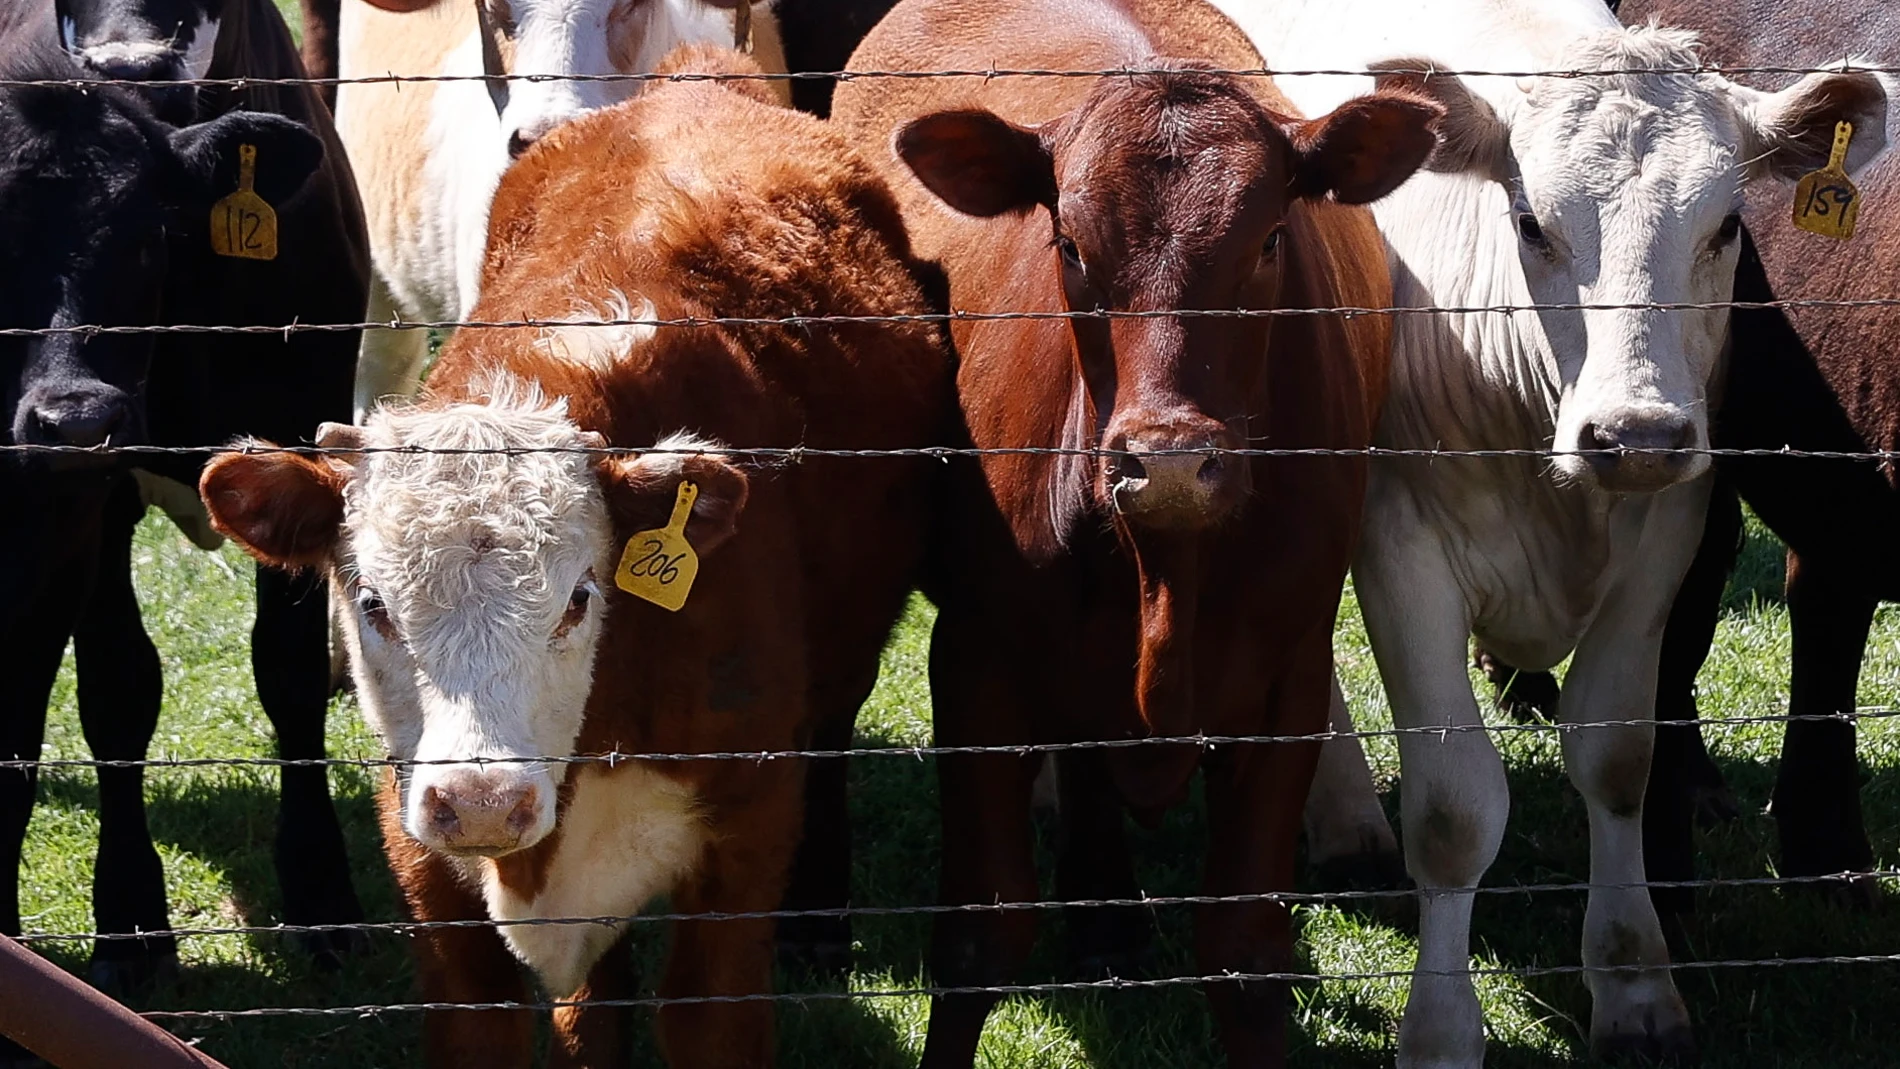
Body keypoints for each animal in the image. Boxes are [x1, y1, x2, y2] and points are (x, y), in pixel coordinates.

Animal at [0, 18, 342, 1069]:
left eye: (149, 233)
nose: (76, 419)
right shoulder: (87, 519)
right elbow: (117, 690)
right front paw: (131, 926)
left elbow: (287, 671)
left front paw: (320, 894)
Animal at [199, 45, 953, 1067]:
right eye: (372, 605)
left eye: (580, 599)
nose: (483, 802)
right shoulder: (420, 843)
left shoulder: (746, 833)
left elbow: (707, 1019)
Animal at [829, 0, 1438, 1062]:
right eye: (1069, 243)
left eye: (1271, 238)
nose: (1169, 461)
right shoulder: (978, 659)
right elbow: (981, 939)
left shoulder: (1289, 675)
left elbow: (1243, 951)